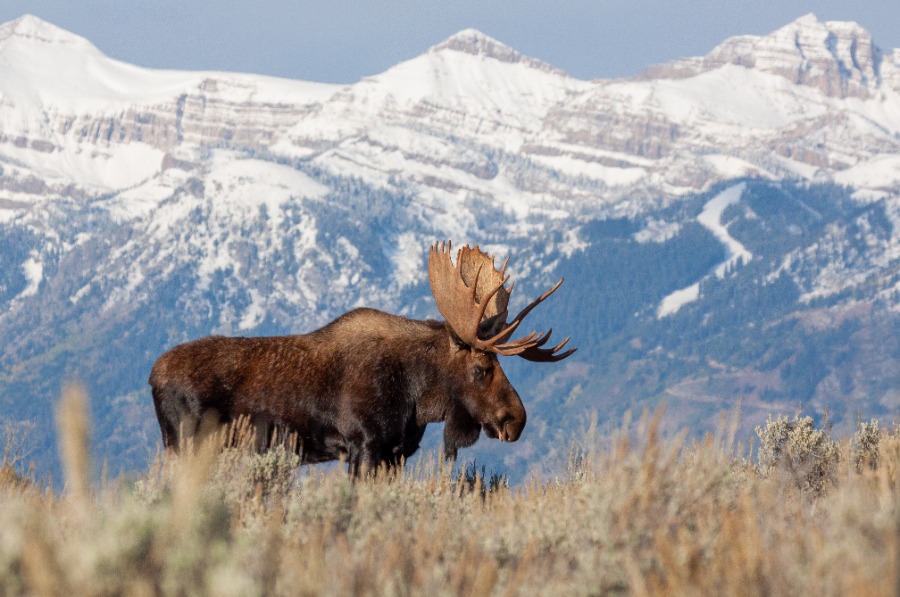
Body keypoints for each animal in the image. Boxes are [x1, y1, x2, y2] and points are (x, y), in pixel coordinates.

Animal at [146, 240, 568, 472]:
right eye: (481, 368)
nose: (516, 419)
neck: (417, 397)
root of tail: (151, 375)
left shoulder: (397, 453)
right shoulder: (364, 445)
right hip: (186, 445)